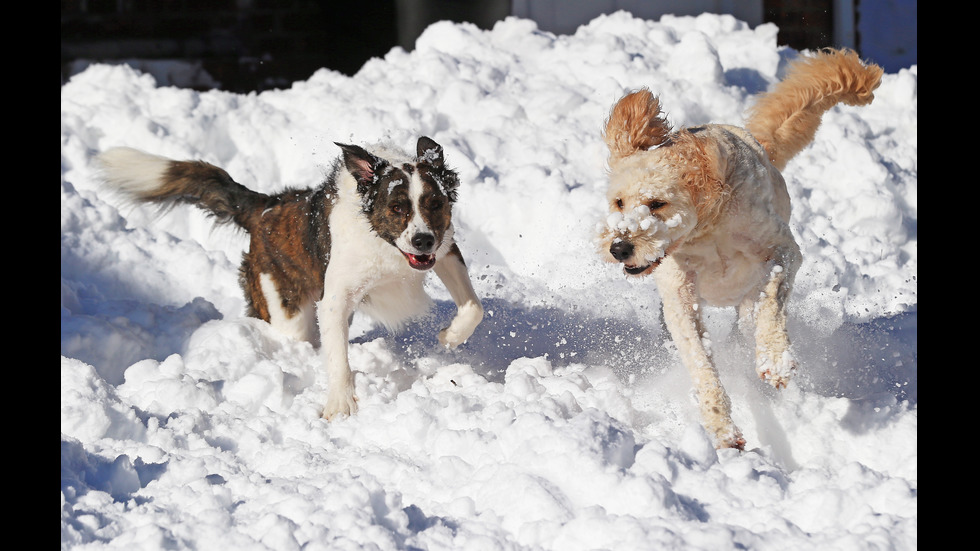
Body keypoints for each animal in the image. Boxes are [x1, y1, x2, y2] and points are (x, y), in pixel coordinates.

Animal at [95, 137, 486, 418]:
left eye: (435, 204)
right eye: (397, 208)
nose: (422, 240)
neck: (383, 241)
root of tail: (265, 208)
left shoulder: (446, 249)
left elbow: (474, 307)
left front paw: (450, 336)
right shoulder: (335, 301)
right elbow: (338, 360)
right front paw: (340, 406)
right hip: (285, 309)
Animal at [592, 49, 884, 450]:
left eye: (656, 203)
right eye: (619, 202)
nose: (619, 247)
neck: (707, 228)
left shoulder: (782, 252)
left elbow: (772, 301)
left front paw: (775, 360)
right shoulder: (679, 295)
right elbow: (700, 358)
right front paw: (721, 427)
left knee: (749, 321)